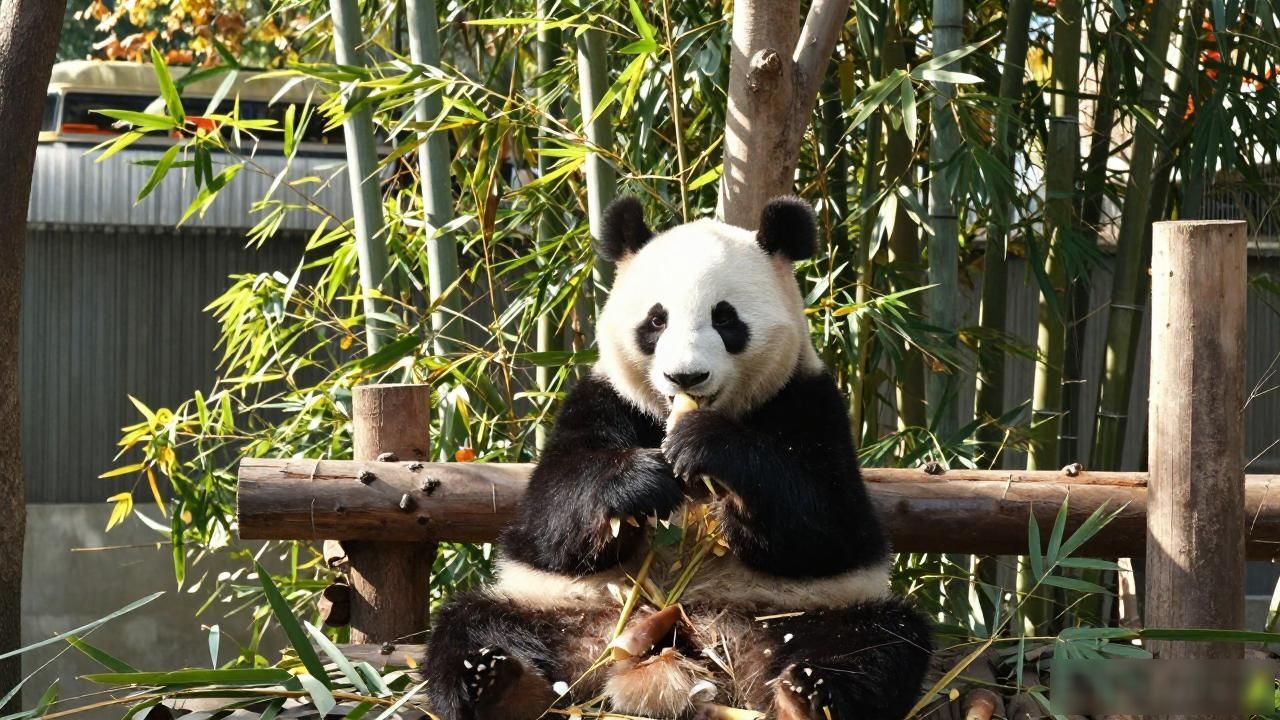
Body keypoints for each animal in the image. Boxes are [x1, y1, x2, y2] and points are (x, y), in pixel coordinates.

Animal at [423, 195, 932, 720]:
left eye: (725, 319)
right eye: (656, 320)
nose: (685, 376)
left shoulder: (809, 401)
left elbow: (827, 523)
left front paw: (706, 448)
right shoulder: (603, 400)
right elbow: (549, 518)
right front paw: (641, 482)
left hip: (797, 613)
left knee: (878, 643)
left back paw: (808, 693)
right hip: (560, 609)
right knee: (471, 625)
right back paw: (496, 682)